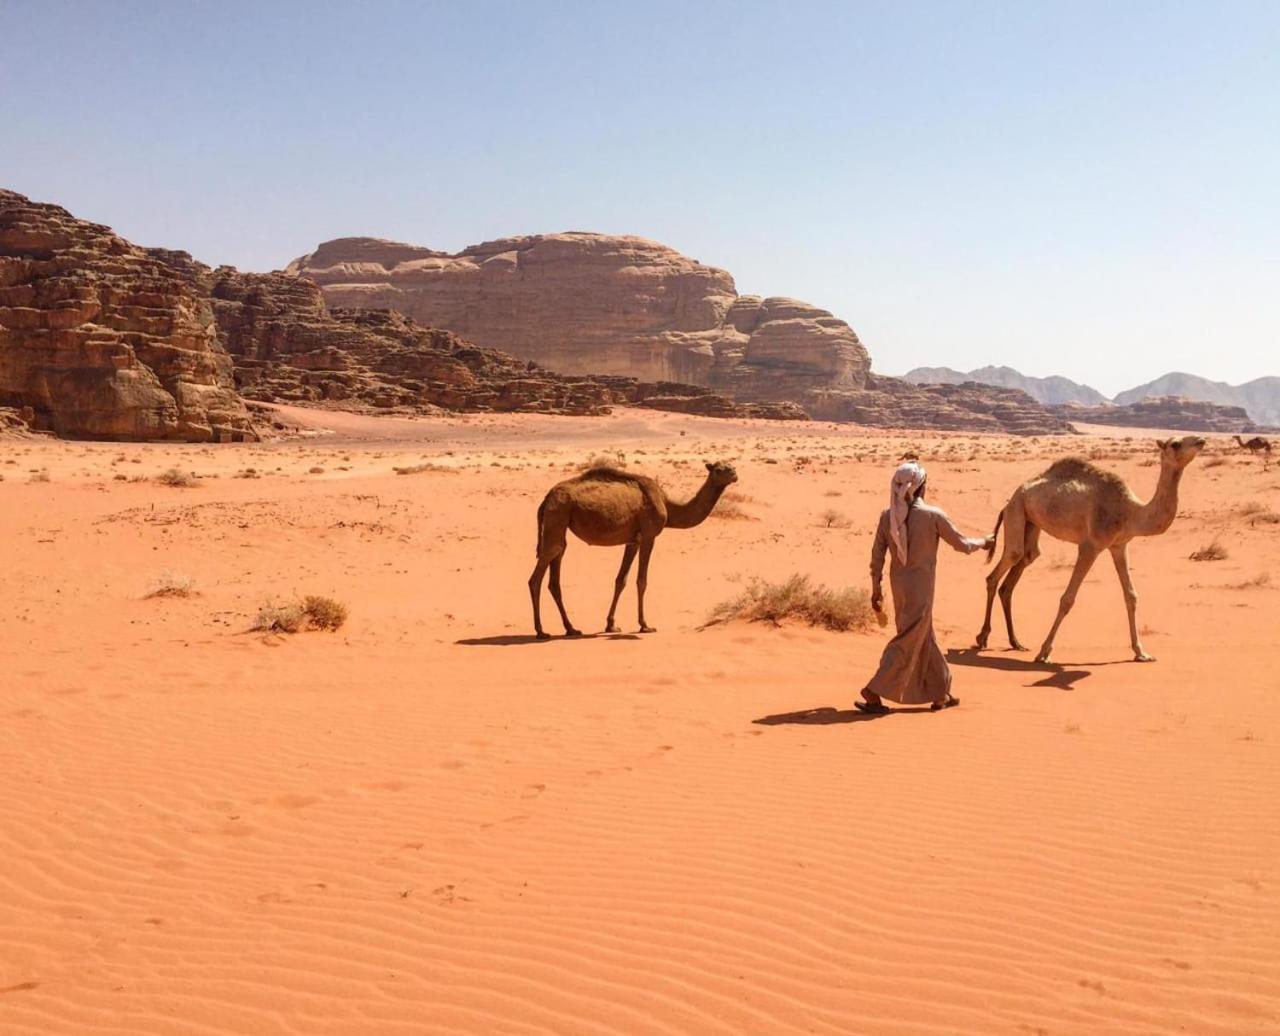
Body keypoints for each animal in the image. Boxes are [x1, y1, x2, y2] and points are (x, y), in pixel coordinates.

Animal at [529, 463, 742, 637]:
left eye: (730, 465)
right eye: (718, 469)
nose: (734, 473)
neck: (668, 506)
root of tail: (546, 498)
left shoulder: (633, 542)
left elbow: (620, 580)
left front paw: (611, 625)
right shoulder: (649, 536)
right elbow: (642, 581)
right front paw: (645, 625)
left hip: (559, 522)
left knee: (555, 573)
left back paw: (571, 628)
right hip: (558, 514)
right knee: (537, 576)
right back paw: (541, 631)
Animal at [972, 435, 1203, 660]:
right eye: (1176, 444)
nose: (1201, 441)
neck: (1130, 512)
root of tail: (1009, 501)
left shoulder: (1119, 545)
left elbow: (1131, 596)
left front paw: (1141, 652)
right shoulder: (1090, 546)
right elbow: (1067, 598)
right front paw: (1044, 652)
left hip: (1031, 523)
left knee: (1019, 569)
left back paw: (1015, 642)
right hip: (1016, 511)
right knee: (1002, 566)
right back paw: (982, 638)